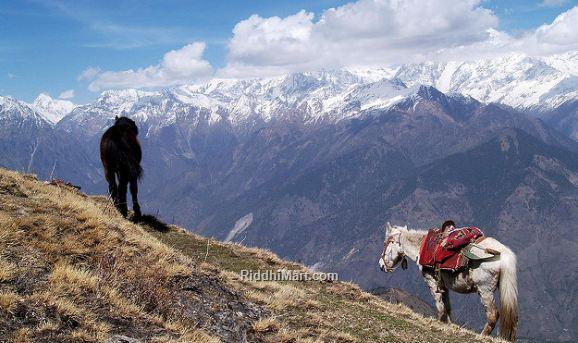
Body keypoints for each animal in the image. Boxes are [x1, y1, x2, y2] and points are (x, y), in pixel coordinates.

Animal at [378, 223, 516, 342]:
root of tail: (503, 255)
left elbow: (439, 306)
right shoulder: (443, 286)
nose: (381, 265)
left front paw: (439, 323)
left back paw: (482, 335)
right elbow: (447, 307)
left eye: (385, 243)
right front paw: (449, 325)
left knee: (493, 314)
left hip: (485, 290)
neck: (422, 247)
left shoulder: (432, 282)